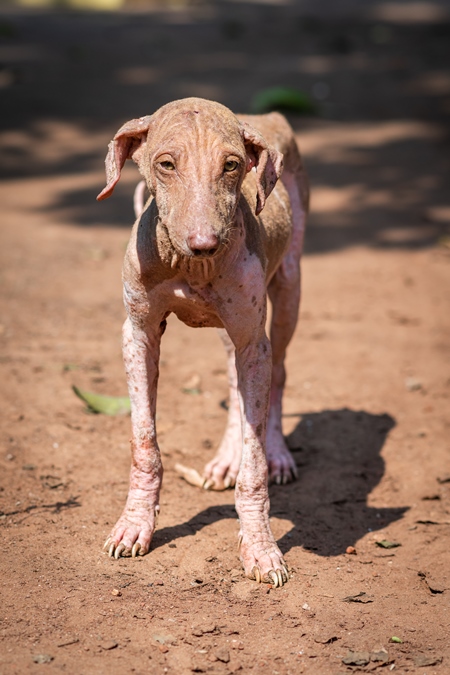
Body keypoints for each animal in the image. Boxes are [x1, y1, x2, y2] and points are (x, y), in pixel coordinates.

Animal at [97, 96, 310, 588]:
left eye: (232, 165)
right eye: (166, 164)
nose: (205, 244)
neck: (189, 268)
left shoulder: (253, 340)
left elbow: (254, 469)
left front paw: (260, 548)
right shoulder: (137, 335)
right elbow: (144, 445)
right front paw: (134, 525)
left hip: (287, 288)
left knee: (278, 371)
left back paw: (278, 454)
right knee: (237, 384)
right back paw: (226, 459)